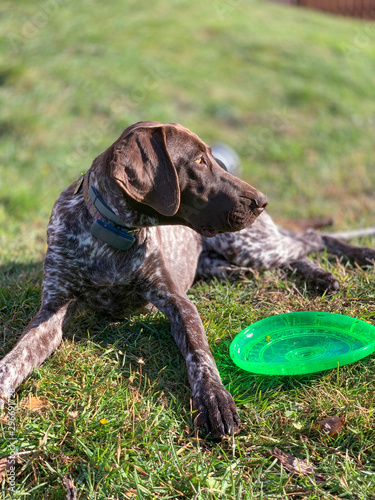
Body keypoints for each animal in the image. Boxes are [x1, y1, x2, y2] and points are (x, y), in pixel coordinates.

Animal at [0, 121, 375, 438]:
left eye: (214, 158)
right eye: (198, 160)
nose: (262, 201)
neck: (112, 234)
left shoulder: (177, 301)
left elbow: (199, 355)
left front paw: (214, 399)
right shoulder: (52, 311)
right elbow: (15, 359)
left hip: (249, 244)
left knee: (309, 239)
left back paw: (340, 265)